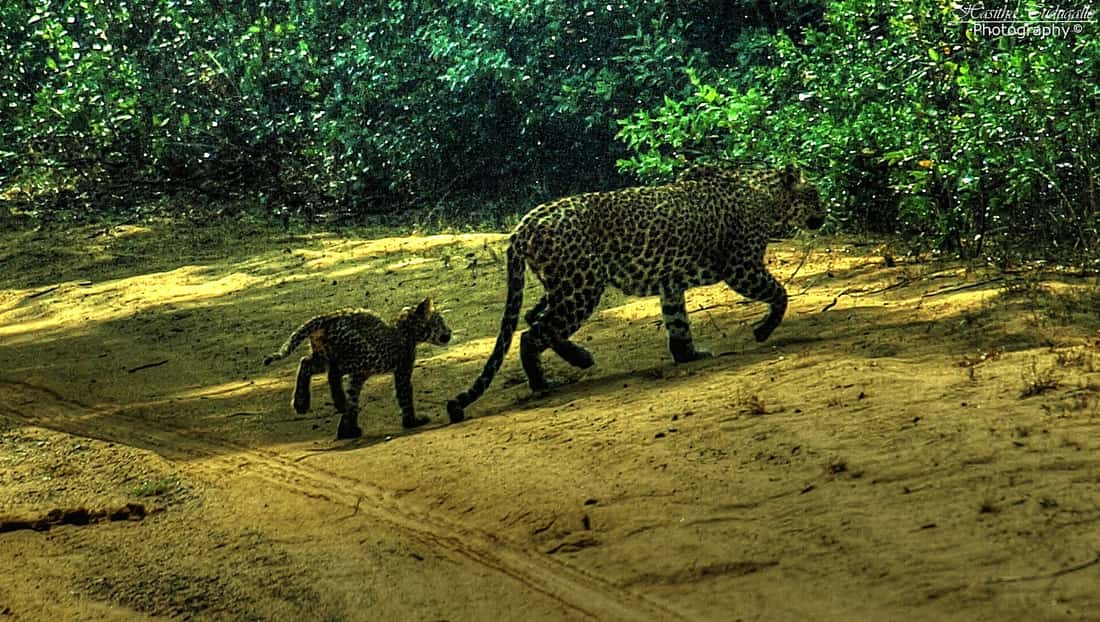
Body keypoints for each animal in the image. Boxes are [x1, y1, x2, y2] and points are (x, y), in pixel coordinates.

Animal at [264, 298, 451, 439]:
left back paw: (301, 403)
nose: (449, 331)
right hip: (365, 355)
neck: (407, 329)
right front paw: (412, 421)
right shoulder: (401, 370)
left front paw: (348, 430)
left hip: (324, 357)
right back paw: (338, 402)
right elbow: (405, 396)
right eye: (440, 321)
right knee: (333, 372)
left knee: (305, 363)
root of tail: (327, 317)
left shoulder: (359, 376)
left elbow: (353, 398)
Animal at [447, 163, 824, 423]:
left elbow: (677, 322)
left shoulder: (671, 282)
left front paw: (688, 355)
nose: (824, 214)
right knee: (532, 333)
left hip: (566, 284)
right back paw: (544, 383)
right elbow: (780, 293)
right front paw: (763, 330)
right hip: (582, 286)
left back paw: (579, 357)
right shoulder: (741, 267)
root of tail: (523, 225)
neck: (766, 196)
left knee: (533, 318)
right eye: (815, 194)